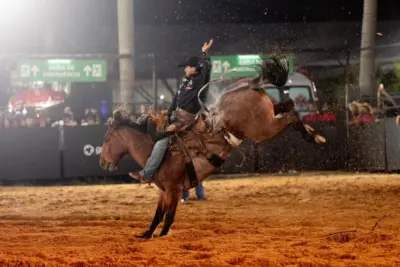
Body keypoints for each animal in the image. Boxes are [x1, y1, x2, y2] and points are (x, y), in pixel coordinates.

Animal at [99, 55, 324, 240]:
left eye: (107, 139)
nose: (102, 162)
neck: (155, 154)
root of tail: (249, 86)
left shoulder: (173, 190)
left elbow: (168, 218)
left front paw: (160, 236)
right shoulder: (164, 192)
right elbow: (158, 215)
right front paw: (146, 235)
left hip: (263, 129)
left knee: (290, 114)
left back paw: (314, 136)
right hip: (269, 114)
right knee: (287, 104)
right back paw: (312, 131)